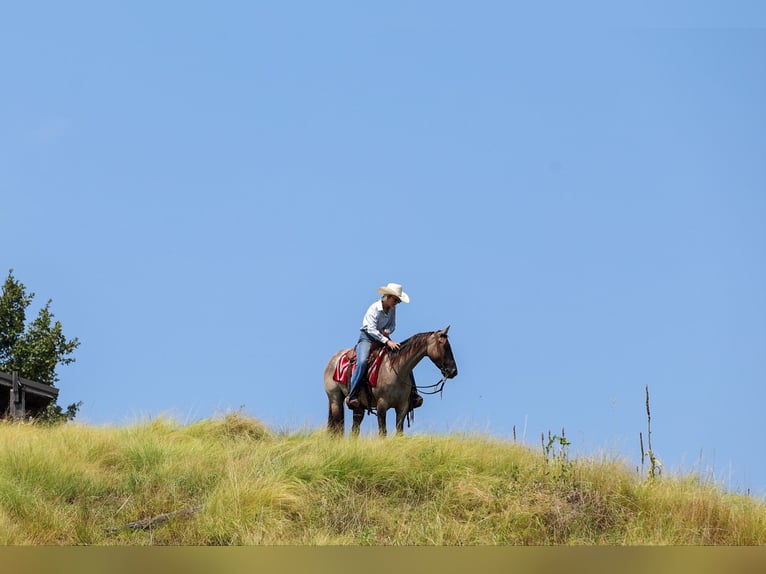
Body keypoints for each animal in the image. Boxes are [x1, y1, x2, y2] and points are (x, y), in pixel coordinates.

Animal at [324, 326, 458, 436]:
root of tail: (333, 359)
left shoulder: (402, 407)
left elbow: (399, 432)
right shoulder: (382, 405)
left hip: (359, 406)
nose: (453, 371)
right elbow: (383, 432)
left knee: (354, 430)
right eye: (443, 345)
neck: (395, 369)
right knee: (338, 427)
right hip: (335, 400)